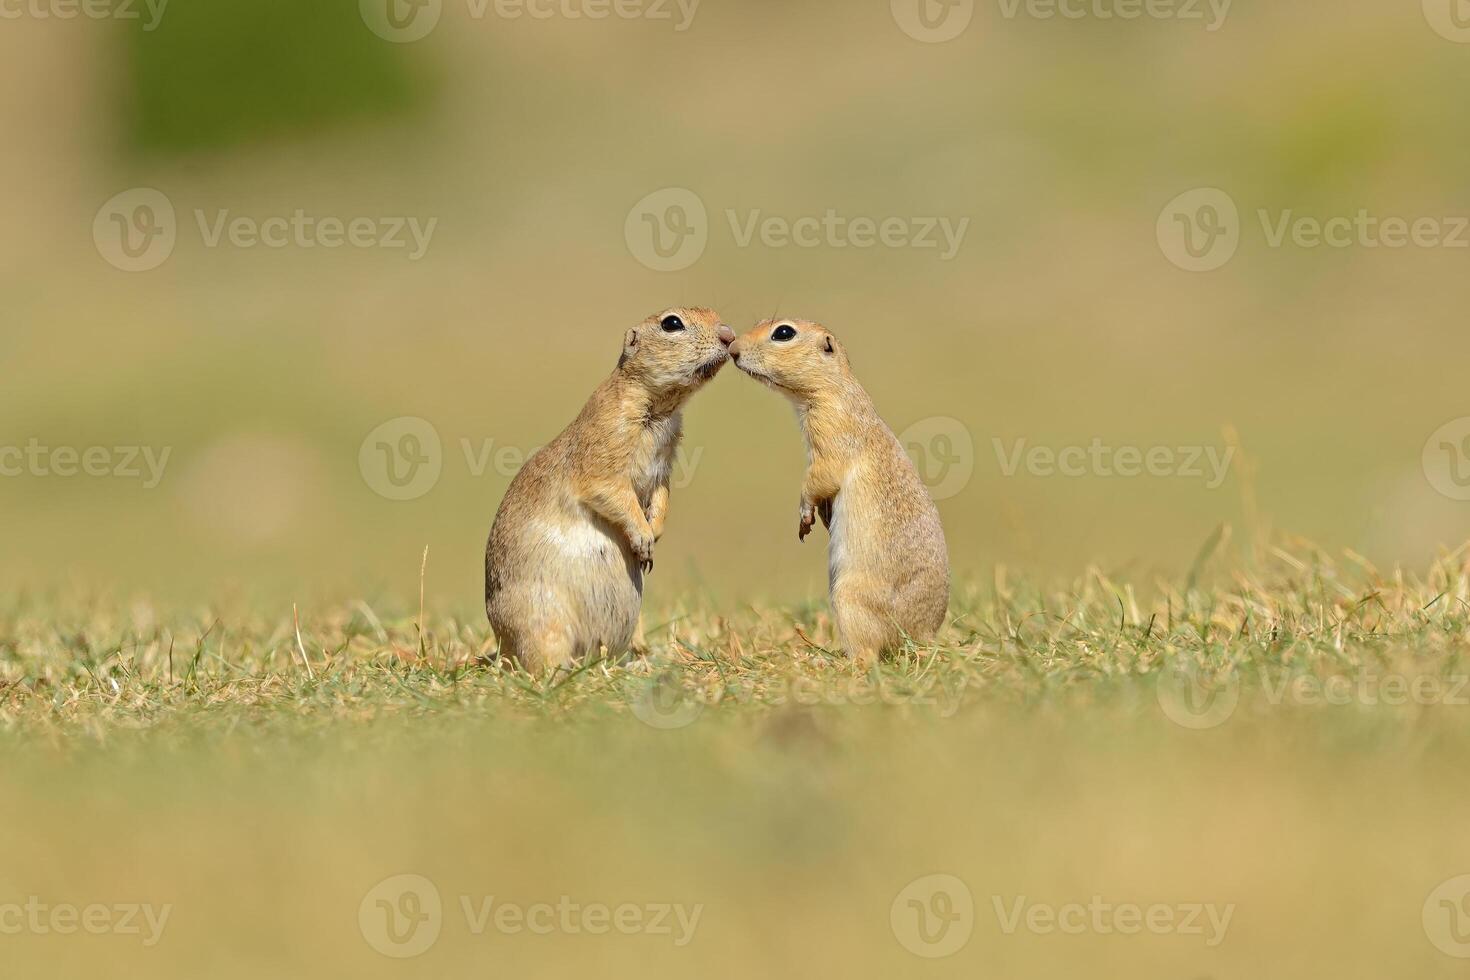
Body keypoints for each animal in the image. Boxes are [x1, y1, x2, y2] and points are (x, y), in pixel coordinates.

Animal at [485, 307, 732, 675]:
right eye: (671, 323)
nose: (729, 335)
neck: (661, 409)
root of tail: (503, 648)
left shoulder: (664, 463)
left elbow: (662, 495)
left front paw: (655, 533)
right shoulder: (605, 444)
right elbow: (610, 491)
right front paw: (643, 538)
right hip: (542, 622)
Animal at [726, 318, 952, 664]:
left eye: (783, 332)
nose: (733, 349)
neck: (835, 386)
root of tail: (922, 635)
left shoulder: (830, 428)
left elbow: (821, 475)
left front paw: (805, 513)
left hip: (849, 598)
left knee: (867, 655)